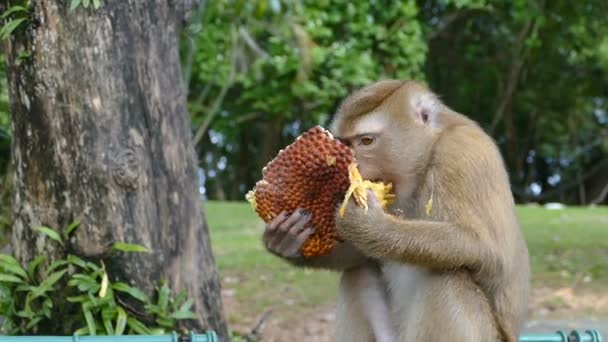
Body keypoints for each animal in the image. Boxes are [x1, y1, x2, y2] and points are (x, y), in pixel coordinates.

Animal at [264, 81, 528, 342]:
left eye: (366, 141)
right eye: (346, 143)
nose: (349, 167)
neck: (427, 158)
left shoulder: (461, 155)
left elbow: (482, 246)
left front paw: (368, 225)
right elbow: (362, 256)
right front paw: (289, 241)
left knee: (448, 277)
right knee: (357, 274)